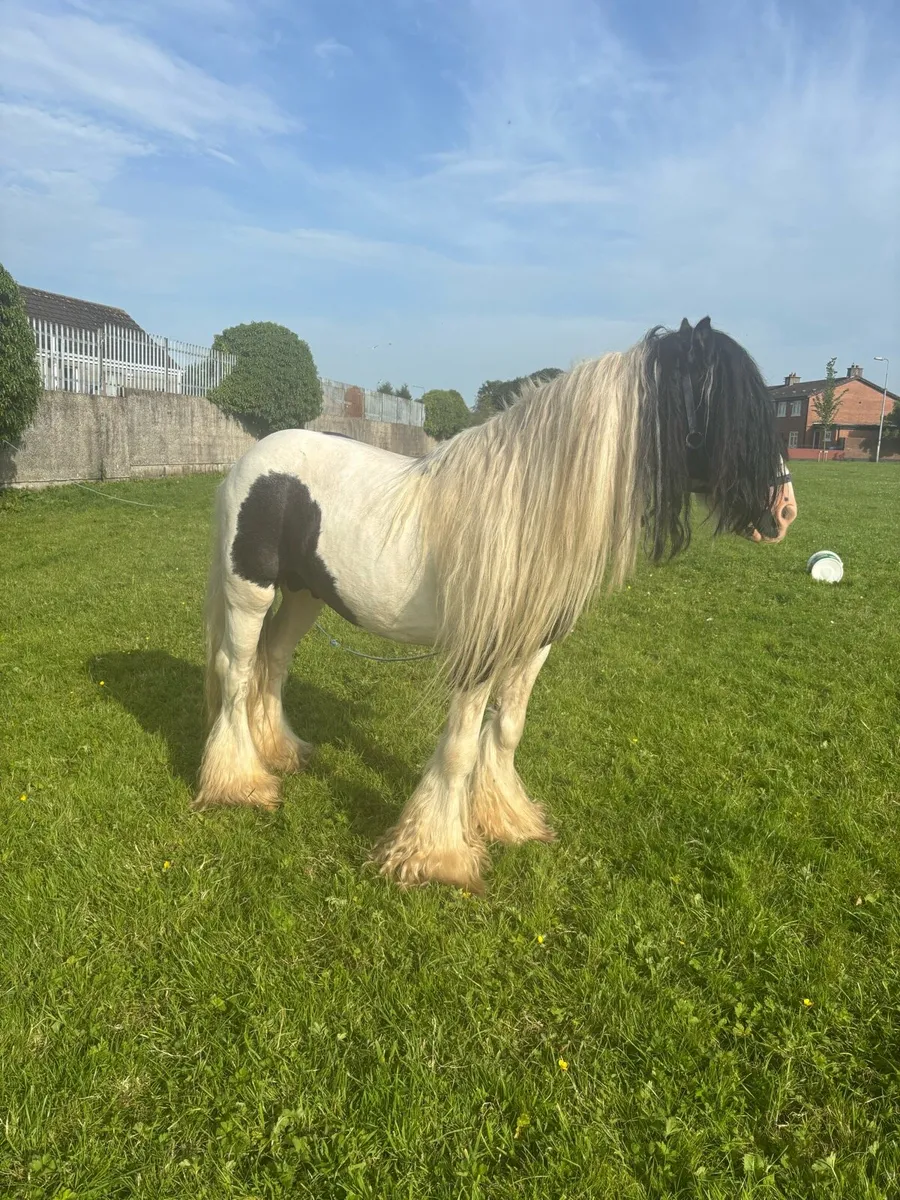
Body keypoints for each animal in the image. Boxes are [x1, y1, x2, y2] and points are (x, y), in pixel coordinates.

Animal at [194, 317, 797, 892]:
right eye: (734, 411)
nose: (785, 512)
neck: (529, 509)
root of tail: (250, 460)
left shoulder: (533, 647)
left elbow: (507, 730)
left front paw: (507, 820)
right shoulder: (479, 652)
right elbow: (460, 747)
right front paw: (437, 857)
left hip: (304, 596)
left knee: (273, 663)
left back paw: (281, 753)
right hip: (249, 594)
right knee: (237, 671)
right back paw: (240, 783)